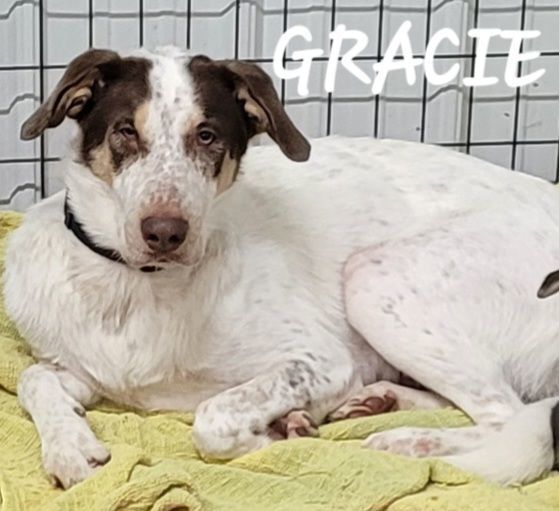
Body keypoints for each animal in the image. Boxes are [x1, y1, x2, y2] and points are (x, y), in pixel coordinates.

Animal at [4, 47, 559, 488]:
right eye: (125, 131)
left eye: (207, 136)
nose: (164, 232)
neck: (137, 287)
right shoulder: (83, 370)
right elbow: (34, 379)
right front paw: (70, 447)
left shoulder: (322, 361)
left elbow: (213, 417)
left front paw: (277, 432)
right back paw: (377, 400)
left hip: (375, 275)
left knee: (507, 414)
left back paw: (407, 440)